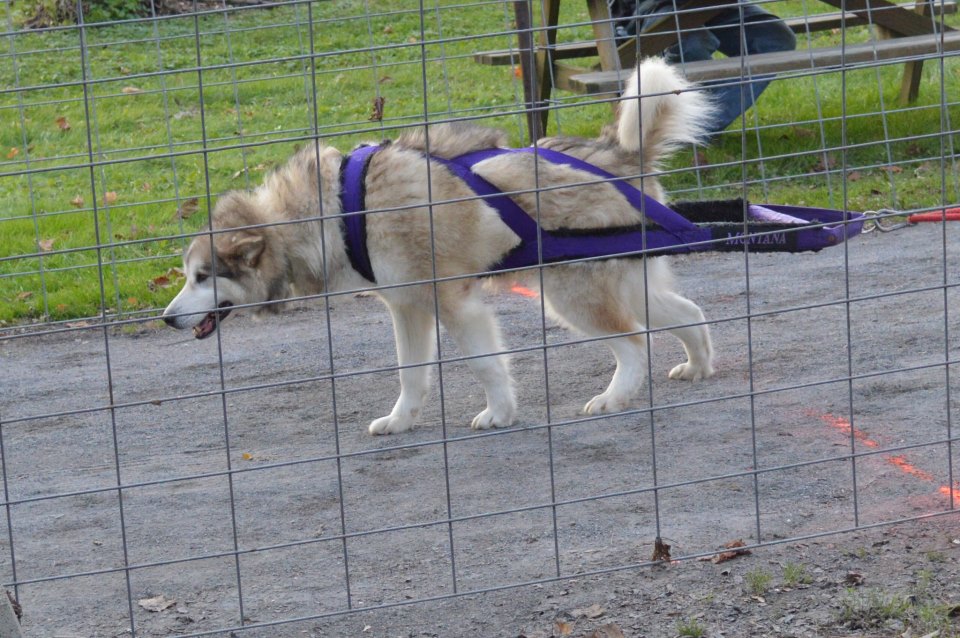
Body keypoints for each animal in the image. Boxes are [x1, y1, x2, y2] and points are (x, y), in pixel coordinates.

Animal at [161, 58, 712, 436]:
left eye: (204, 276)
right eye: (188, 275)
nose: (167, 319)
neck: (336, 210)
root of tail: (620, 154)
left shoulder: (454, 304)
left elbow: (485, 364)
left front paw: (500, 412)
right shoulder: (408, 308)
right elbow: (411, 374)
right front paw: (401, 420)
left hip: (572, 296)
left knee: (634, 342)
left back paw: (613, 398)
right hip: (627, 284)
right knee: (689, 313)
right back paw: (698, 366)